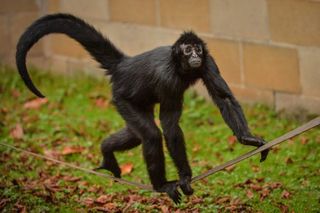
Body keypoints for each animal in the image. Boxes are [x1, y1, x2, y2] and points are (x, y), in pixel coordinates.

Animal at [16, 13, 268, 203]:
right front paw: (185, 177)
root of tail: (124, 64)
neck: (180, 66)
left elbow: (224, 98)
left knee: (136, 135)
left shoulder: (208, 62)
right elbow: (169, 126)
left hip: (135, 101)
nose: (195, 54)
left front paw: (248, 139)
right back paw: (161, 185)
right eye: (187, 50)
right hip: (121, 97)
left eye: (197, 48)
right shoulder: (167, 79)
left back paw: (106, 152)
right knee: (151, 135)